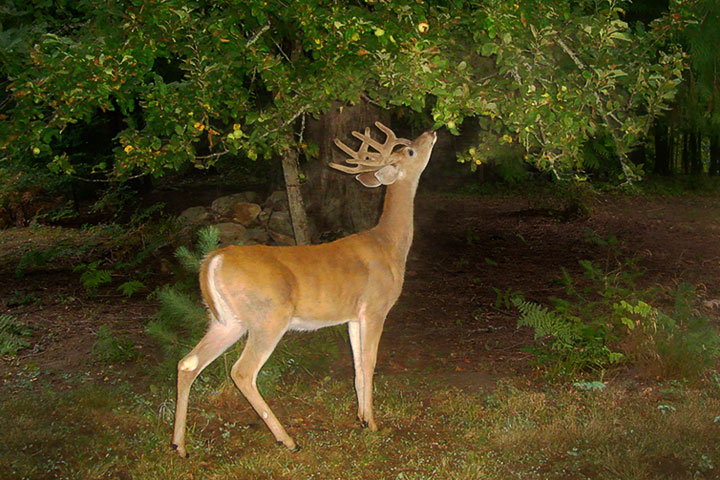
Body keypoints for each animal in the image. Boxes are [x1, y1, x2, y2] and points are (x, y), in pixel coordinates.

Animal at [172, 122, 436, 456]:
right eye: (411, 151)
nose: (431, 132)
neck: (389, 245)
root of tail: (213, 259)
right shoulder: (375, 307)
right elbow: (369, 363)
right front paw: (373, 424)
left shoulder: (352, 316)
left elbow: (357, 366)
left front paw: (361, 418)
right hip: (268, 316)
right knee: (242, 371)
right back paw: (287, 440)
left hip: (226, 321)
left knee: (187, 363)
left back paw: (179, 445)